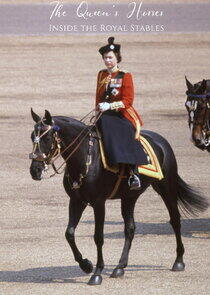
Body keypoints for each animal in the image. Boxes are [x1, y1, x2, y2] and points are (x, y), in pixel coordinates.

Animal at [29, 110, 208, 286]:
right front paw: (86, 265)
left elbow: (98, 237)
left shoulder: (99, 203)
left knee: (175, 220)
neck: (85, 158)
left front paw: (97, 273)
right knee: (130, 228)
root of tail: (161, 140)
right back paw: (120, 267)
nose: (35, 170)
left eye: (47, 138)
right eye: (32, 136)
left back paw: (179, 261)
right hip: (129, 197)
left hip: (166, 188)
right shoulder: (76, 201)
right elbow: (69, 233)